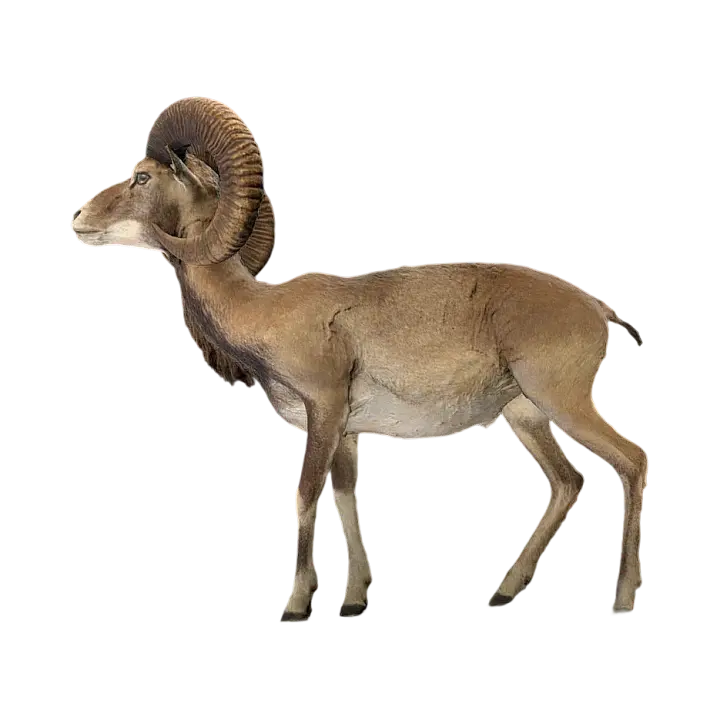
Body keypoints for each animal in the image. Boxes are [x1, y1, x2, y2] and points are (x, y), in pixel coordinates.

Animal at [72, 96, 649, 621]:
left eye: (142, 178)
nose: (78, 222)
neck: (262, 310)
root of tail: (598, 311)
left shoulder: (323, 412)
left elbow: (306, 494)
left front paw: (296, 606)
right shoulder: (344, 433)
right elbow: (346, 499)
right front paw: (354, 602)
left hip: (563, 403)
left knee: (631, 461)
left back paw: (622, 602)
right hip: (526, 416)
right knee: (568, 482)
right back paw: (503, 595)